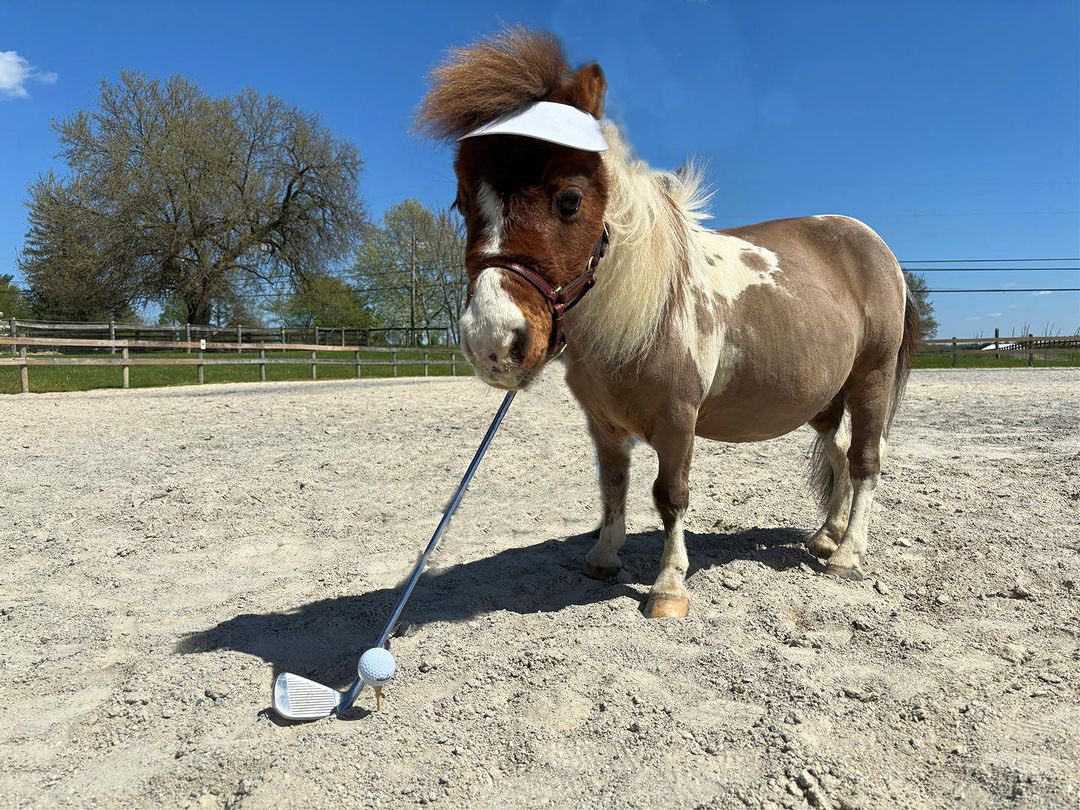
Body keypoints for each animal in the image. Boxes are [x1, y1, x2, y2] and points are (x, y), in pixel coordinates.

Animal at [417, 28, 919, 618]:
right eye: (461, 202)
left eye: (570, 200)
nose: (492, 342)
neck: (642, 312)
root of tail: (874, 245)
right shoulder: (603, 423)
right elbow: (613, 486)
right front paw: (603, 559)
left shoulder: (679, 419)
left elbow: (670, 494)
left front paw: (668, 588)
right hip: (823, 398)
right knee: (838, 456)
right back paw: (825, 536)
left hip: (871, 380)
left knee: (865, 460)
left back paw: (847, 554)